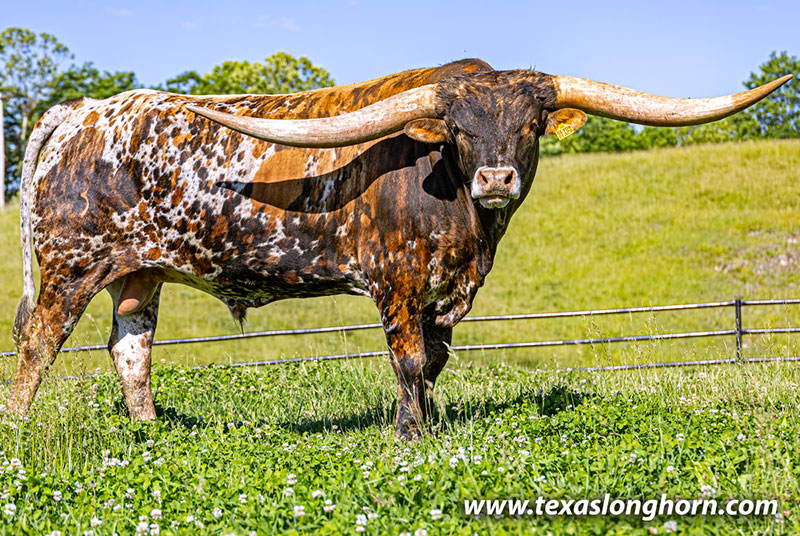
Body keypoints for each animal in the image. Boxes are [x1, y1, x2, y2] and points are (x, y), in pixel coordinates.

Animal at [5, 58, 790, 438]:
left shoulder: (449, 295)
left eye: (530, 125)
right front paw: (410, 436)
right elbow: (409, 360)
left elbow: (435, 362)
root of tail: (82, 111)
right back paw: (18, 428)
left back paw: (150, 437)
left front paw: (430, 423)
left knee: (130, 347)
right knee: (38, 343)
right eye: (460, 130)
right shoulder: (398, 284)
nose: (496, 178)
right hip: (71, 265)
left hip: (140, 272)